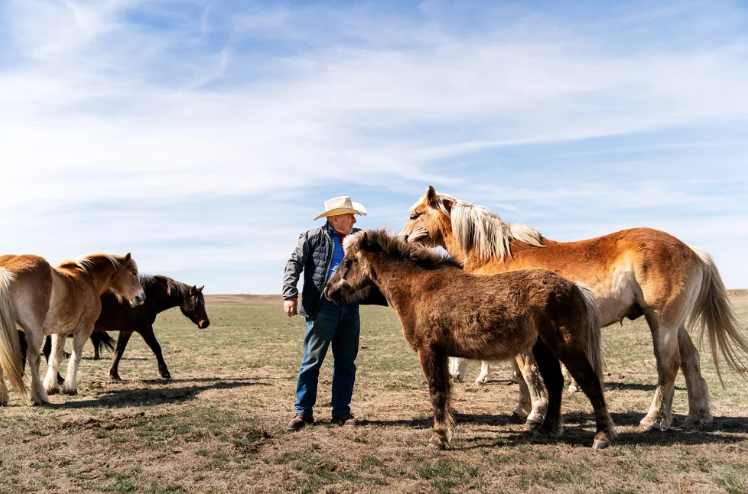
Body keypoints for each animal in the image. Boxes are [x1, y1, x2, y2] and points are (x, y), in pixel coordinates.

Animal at [0, 255, 145, 406]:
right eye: (133, 273)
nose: (142, 296)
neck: (88, 277)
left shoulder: (60, 332)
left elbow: (55, 357)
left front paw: (52, 386)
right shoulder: (84, 329)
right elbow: (76, 356)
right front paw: (70, 387)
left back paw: (3, 397)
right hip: (34, 333)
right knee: (34, 359)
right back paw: (39, 396)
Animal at [21, 274, 207, 382]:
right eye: (197, 303)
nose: (205, 323)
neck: (148, 296)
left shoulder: (127, 330)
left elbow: (119, 351)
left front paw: (114, 374)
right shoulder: (144, 327)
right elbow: (156, 347)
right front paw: (165, 372)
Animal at [324, 230, 616, 450]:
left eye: (347, 262)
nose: (327, 290)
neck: (420, 288)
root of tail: (574, 287)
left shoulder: (429, 350)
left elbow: (437, 391)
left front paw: (438, 439)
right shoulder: (442, 353)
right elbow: (445, 391)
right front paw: (445, 433)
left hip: (566, 346)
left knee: (590, 383)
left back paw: (602, 436)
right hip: (544, 348)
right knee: (555, 384)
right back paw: (547, 429)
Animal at [404, 185, 748, 432]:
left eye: (415, 215)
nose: (404, 238)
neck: (497, 254)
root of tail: (691, 250)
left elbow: (529, 373)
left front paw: (535, 415)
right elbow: (520, 374)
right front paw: (522, 410)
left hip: (662, 324)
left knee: (669, 366)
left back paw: (655, 419)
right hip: (676, 326)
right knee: (691, 360)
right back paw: (698, 415)